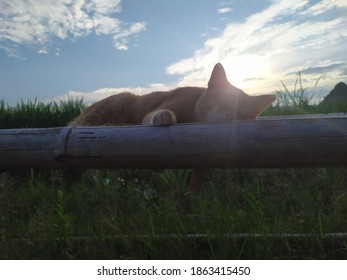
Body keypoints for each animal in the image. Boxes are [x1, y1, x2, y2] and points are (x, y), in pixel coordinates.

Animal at [71, 63, 278, 195]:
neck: (194, 117)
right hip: (116, 101)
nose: (228, 118)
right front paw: (165, 117)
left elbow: (200, 170)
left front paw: (194, 192)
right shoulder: (155, 111)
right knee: (82, 126)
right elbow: (160, 113)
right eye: (222, 100)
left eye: (242, 112)